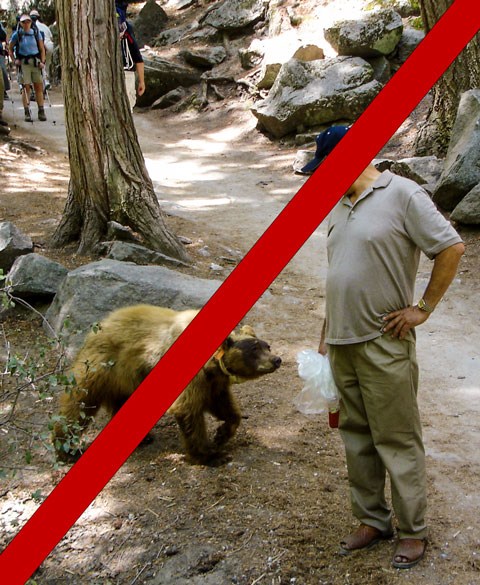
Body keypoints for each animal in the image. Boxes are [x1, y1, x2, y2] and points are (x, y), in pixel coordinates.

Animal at [51, 304, 282, 464]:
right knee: (79, 403)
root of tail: (99, 327)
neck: (212, 364)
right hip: (101, 366)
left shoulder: (215, 381)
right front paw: (211, 455)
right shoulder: (194, 375)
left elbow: (223, 404)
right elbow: (188, 409)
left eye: (267, 345)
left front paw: (222, 433)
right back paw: (66, 449)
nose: (277, 359)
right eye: (254, 348)